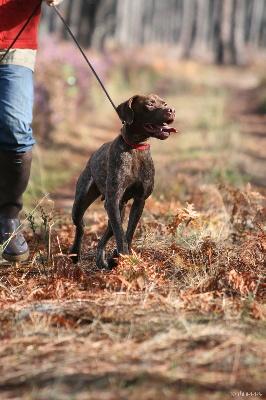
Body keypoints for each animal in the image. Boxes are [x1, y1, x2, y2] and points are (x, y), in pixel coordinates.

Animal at [69, 94, 176, 268]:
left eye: (165, 103)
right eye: (150, 104)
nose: (172, 110)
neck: (135, 148)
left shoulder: (139, 201)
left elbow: (128, 232)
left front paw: (118, 256)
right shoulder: (113, 200)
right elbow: (120, 233)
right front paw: (124, 256)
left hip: (119, 208)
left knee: (106, 234)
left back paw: (102, 259)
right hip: (81, 203)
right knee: (81, 226)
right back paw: (75, 254)